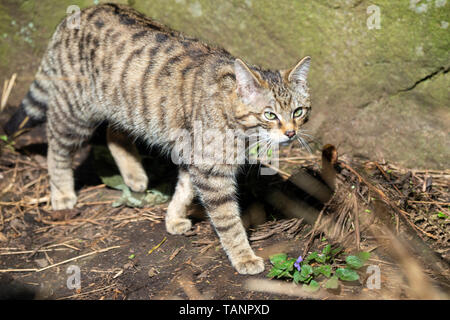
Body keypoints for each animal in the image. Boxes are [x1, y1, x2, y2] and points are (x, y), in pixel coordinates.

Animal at [4, 3, 312, 276]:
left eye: (299, 111)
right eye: (269, 114)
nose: (291, 133)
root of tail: (81, 12)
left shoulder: (194, 156)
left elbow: (185, 189)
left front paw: (173, 217)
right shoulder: (210, 169)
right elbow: (228, 220)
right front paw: (243, 257)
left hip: (126, 108)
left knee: (113, 133)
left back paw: (134, 176)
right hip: (74, 111)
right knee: (56, 144)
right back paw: (62, 193)